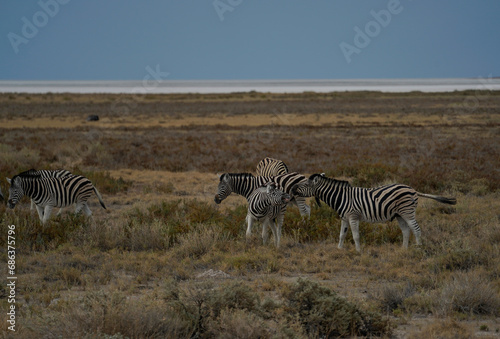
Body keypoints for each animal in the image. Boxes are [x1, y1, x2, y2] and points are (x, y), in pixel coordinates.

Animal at [292, 175, 458, 252]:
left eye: (305, 184)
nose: (293, 189)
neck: (341, 197)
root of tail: (413, 189)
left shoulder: (353, 216)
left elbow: (355, 235)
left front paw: (358, 251)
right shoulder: (344, 218)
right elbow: (342, 235)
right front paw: (339, 249)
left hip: (407, 211)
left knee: (416, 229)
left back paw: (418, 248)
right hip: (399, 215)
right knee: (406, 231)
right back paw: (403, 249)